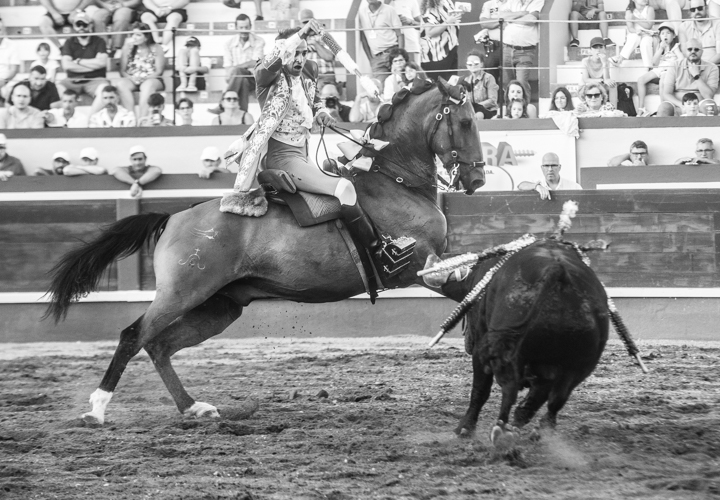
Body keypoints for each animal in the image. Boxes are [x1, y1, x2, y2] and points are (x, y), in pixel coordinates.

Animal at [45, 79, 486, 426]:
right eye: (465, 123)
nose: (479, 178)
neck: (394, 181)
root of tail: (174, 218)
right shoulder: (419, 268)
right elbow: (469, 288)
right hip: (182, 293)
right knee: (134, 335)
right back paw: (97, 409)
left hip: (219, 307)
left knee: (159, 345)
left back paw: (193, 407)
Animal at [425, 238, 609, 444]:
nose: (468, 343)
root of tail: (558, 271)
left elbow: (480, 389)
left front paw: (465, 428)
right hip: (580, 365)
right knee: (556, 399)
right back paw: (537, 429)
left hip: (497, 351)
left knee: (509, 389)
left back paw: (500, 430)